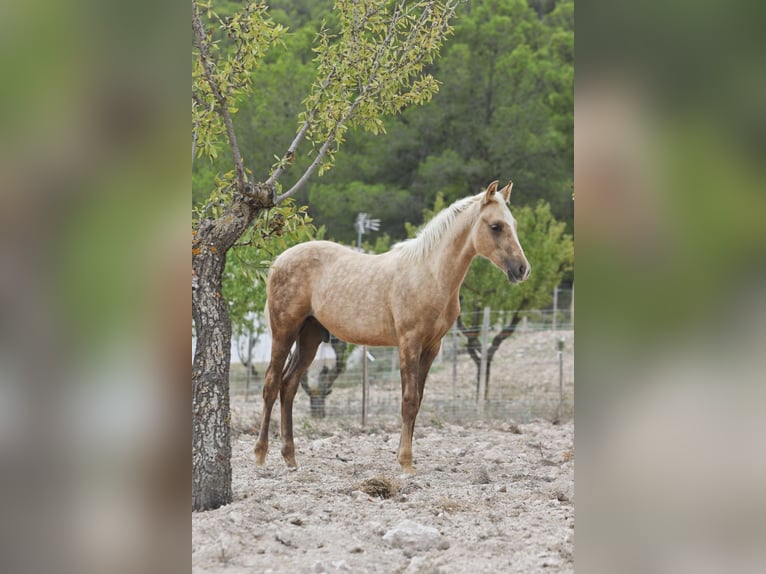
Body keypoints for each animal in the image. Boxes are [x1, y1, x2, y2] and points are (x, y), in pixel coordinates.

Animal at [255, 182, 532, 474]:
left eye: (513, 223)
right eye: (496, 226)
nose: (522, 269)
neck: (430, 274)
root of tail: (278, 261)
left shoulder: (432, 347)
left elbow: (417, 401)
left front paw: (405, 457)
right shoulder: (409, 343)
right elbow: (408, 401)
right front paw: (406, 463)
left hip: (310, 337)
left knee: (289, 386)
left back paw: (290, 458)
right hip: (284, 332)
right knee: (271, 384)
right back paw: (260, 455)